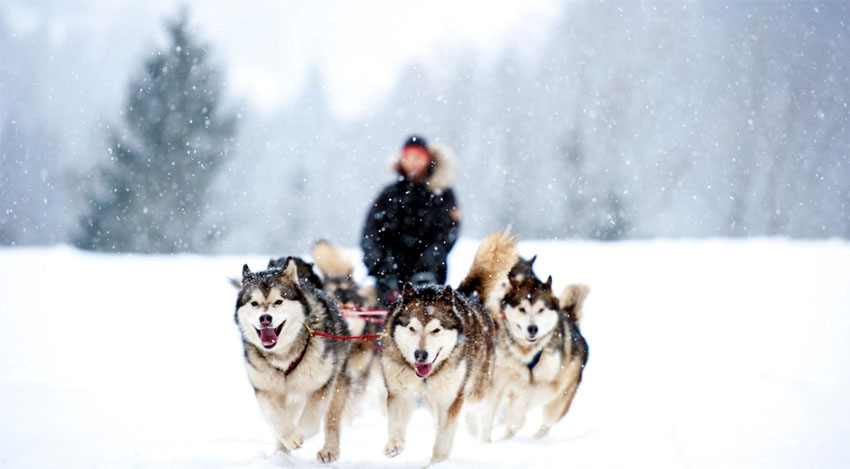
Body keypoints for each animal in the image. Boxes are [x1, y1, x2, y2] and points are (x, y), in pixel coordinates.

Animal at [234, 260, 350, 460]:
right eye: (254, 303)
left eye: (279, 301)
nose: (265, 318)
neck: (283, 356)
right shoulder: (265, 389)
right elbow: (276, 417)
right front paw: (290, 438)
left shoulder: (322, 384)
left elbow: (311, 421)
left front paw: (301, 433)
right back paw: (281, 453)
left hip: (336, 384)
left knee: (331, 419)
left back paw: (329, 449)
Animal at [380, 230, 512, 464]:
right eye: (412, 328)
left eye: (436, 330)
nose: (420, 355)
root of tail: (465, 295)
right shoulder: (399, 391)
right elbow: (396, 423)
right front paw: (394, 444)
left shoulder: (450, 398)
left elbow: (444, 435)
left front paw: (438, 461)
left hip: (476, 387)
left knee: (475, 411)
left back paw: (477, 433)